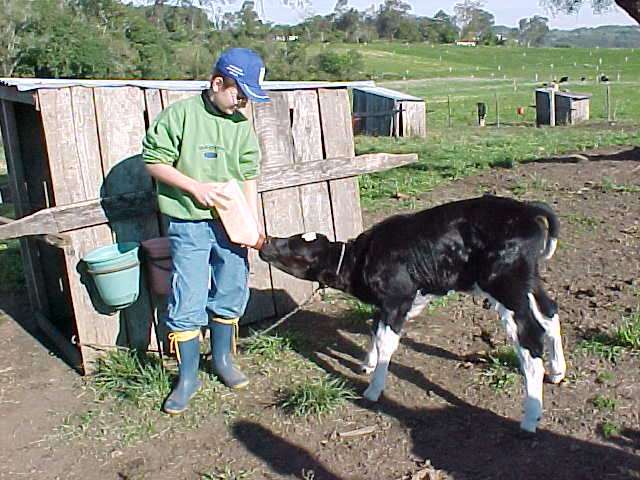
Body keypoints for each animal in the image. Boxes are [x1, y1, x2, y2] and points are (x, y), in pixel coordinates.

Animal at [258, 193, 564, 434]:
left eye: (296, 249)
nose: (266, 242)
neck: (361, 260)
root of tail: (527, 209)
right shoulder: (385, 304)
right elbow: (374, 329)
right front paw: (367, 364)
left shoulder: (398, 298)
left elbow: (386, 342)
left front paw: (373, 389)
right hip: (527, 282)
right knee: (550, 313)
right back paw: (558, 371)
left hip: (505, 285)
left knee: (530, 340)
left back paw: (530, 418)